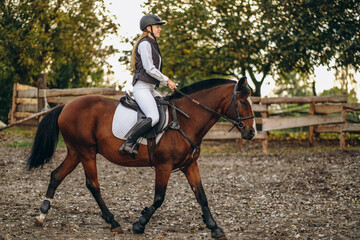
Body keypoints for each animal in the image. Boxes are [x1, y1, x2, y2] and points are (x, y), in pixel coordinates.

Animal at [26, 77, 256, 238]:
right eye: (243, 102)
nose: (251, 132)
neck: (185, 120)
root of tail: (66, 106)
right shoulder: (164, 166)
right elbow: (159, 198)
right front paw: (139, 224)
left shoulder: (190, 165)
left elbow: (201, 196)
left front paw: (215, 228)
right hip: (86, 152)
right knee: (93, 185)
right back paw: (113, 222)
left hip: (75, 152)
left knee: (56, 175)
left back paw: (41, 215)